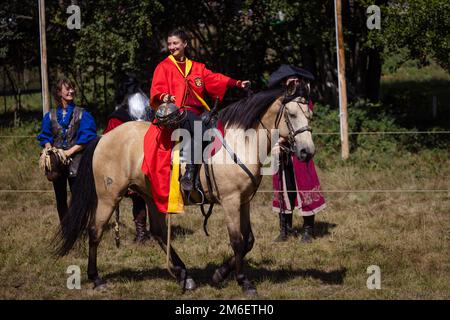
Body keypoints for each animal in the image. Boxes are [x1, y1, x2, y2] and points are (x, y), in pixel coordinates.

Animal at [54, 80, 314, 296]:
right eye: (291, 114)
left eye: (309, 114)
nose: (307, 152)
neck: (241, 142)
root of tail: (103, 138)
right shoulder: (230, 201)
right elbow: (238, 241)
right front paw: (243, 281)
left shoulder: (244, 201)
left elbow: (248, 240)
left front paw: (220, 274)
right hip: (108, 197)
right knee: (95, 231)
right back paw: (96, 278)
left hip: (151, 196)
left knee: (159, 232)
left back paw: (184, 276)